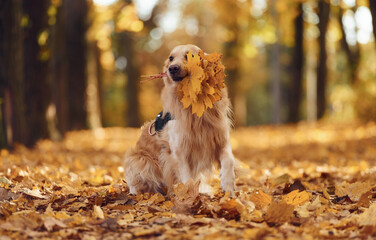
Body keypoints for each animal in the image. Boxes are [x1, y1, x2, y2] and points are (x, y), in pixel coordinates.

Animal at [123, 44, 235, 195]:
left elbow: (229, 160)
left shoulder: (220, 138)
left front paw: (228, 186)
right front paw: (189, 196)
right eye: (171, 58)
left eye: (190, 56)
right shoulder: (179, 150)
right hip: (139, 159)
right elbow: (187, 177)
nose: (172, 68)